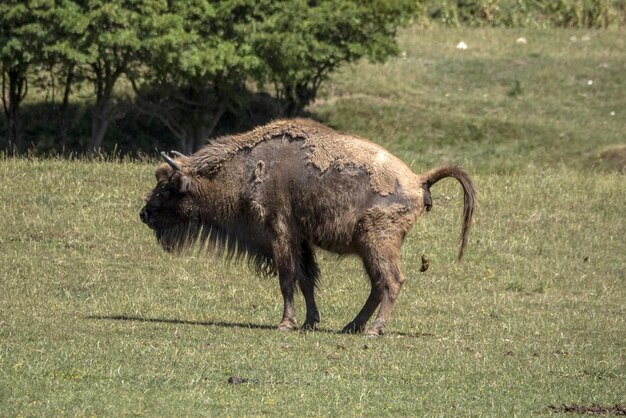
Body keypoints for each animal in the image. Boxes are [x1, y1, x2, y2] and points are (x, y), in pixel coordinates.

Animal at [140, 118, 472, 336]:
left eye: (167, 186)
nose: (144, 214)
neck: (246, 169)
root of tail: (418, 180)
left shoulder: (279, 234)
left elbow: (287, 279)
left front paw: (286, 323)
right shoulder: (300, 240)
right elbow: (306, 279)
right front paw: (310, 321)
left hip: (377, 242)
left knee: (391, 281)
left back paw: (373, 330)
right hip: (368, 249)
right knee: (378, 285)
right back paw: (351, 326)